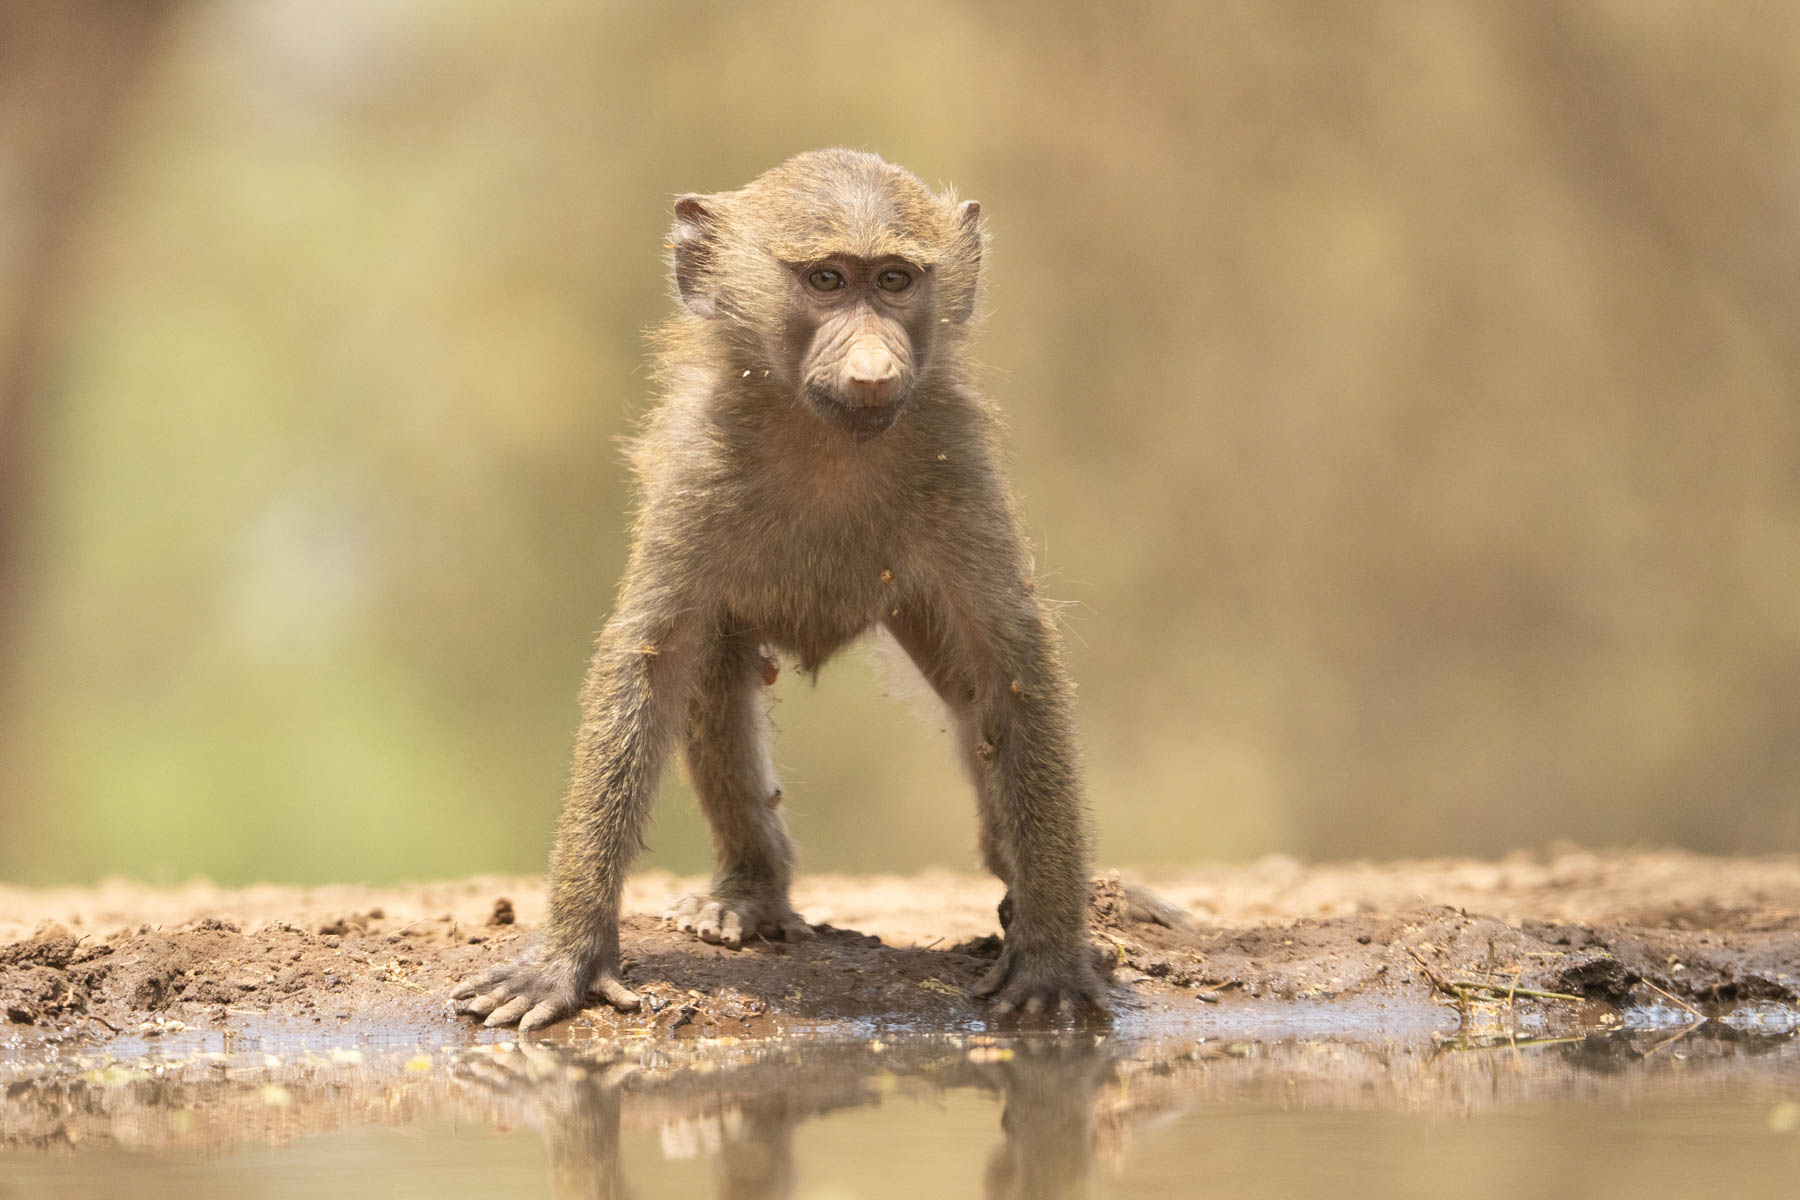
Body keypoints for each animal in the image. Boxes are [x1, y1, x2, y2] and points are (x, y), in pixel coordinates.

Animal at [452, 148, 1106, 1031]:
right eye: (826, 279)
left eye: (895, 280)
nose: (874, 369)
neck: (825, 439)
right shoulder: (699, 467)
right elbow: (652, 662)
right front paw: (569, 954)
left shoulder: (956, 466)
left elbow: (1010, 676)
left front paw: (1049, 955)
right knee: (717, 677)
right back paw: (750, 895)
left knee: (970, 703)